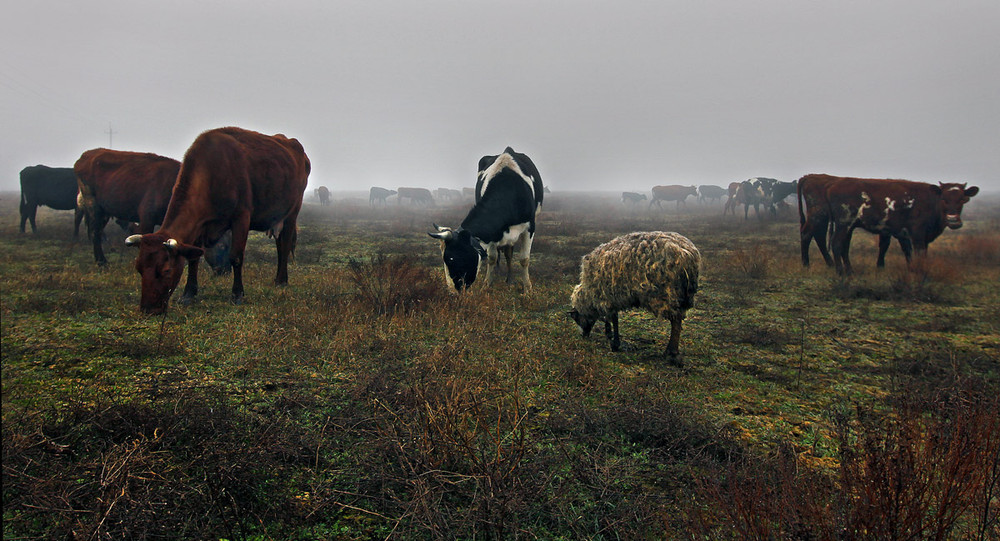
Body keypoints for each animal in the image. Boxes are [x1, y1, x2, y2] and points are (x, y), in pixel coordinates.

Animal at [127, 125, 310, 312]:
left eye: (166, 271)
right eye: (139, 269)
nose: (148, 309)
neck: (213, 172)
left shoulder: (241, 218)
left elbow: (236, 256)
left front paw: (237, 294)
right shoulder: (200, 225)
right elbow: (194, 258)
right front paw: (188, 294)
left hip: (292, 213)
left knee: (285, 244)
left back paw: (281, 280)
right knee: (280, 244)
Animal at [428, 146, 544, 292]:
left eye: (451, 259)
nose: (452, 291)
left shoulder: (530, 227)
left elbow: (524, 259)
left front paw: (528, 289)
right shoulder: (493, 232)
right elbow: (492, 258)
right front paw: (486, 285)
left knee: (509, 254)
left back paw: (510, 280)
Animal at [568, 230, 700, 364]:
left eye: (576, 318)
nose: (583, 336)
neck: (588, 295)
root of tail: (687, 252)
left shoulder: (608, 298)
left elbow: (613, 319)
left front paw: (614, 342)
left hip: (667, 293)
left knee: (676, 320)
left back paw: (672, 353)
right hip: (684, 294)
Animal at [800, 174, 980, 274]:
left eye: (963, 199)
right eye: (944, 199)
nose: (953, 220)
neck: (929, 202)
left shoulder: (906, 234)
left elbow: (908, 251)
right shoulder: (917, 235)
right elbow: (918, 253)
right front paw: (920, 273)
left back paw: (846, 270)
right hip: (838, 221)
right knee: (828, 241)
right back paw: (833, 270)